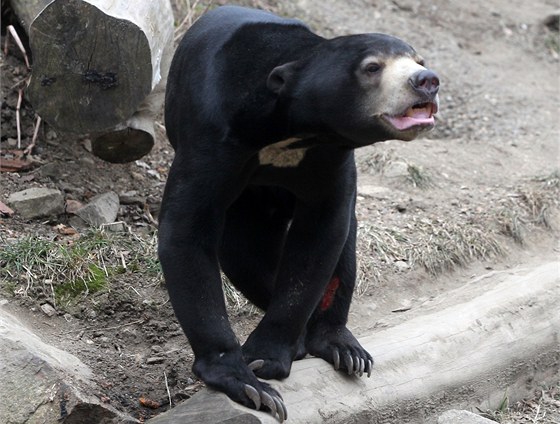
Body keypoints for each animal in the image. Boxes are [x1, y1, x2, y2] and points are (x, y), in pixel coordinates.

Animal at [160, 4, 440, 420]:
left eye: (418, 60)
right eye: (372, 67)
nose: (427, 80)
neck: (292, 131)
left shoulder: (332, 158)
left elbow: (320, 236)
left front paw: (266, 359)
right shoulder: (212, 139)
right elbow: (186, 231)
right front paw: (248, 382)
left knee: (342, 247)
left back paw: (341, 346)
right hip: (248, 202)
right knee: (243, 253)